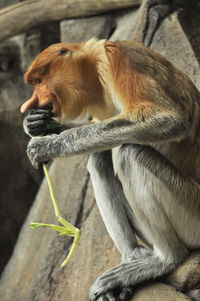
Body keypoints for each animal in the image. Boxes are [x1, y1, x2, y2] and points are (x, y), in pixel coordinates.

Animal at [20, 38, 200, 298]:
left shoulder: (118, 59)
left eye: (39, 81)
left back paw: (165, 260)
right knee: (100, 157)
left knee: (129, 152)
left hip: (191, 211)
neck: (94, 67)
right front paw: (36, 123)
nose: (31, 102)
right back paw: (132, 258)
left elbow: (167, 119)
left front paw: (47, 145)